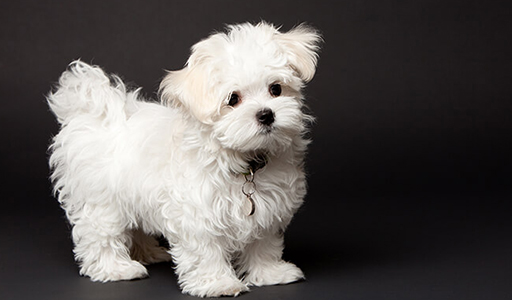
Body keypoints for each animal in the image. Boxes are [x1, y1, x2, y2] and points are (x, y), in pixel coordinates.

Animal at [47, 21, 320, 298]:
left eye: (276, 89)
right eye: (233, 99)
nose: (266, 114)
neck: (245, 160)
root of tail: (93, 113)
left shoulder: (267, 208)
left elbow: (263, 243)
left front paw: (270, 273)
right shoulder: (198, 213)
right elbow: (206, 250)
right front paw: (218, 283)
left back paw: (148, 252)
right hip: (102, 200)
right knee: (100, 233)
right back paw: (116, 268)